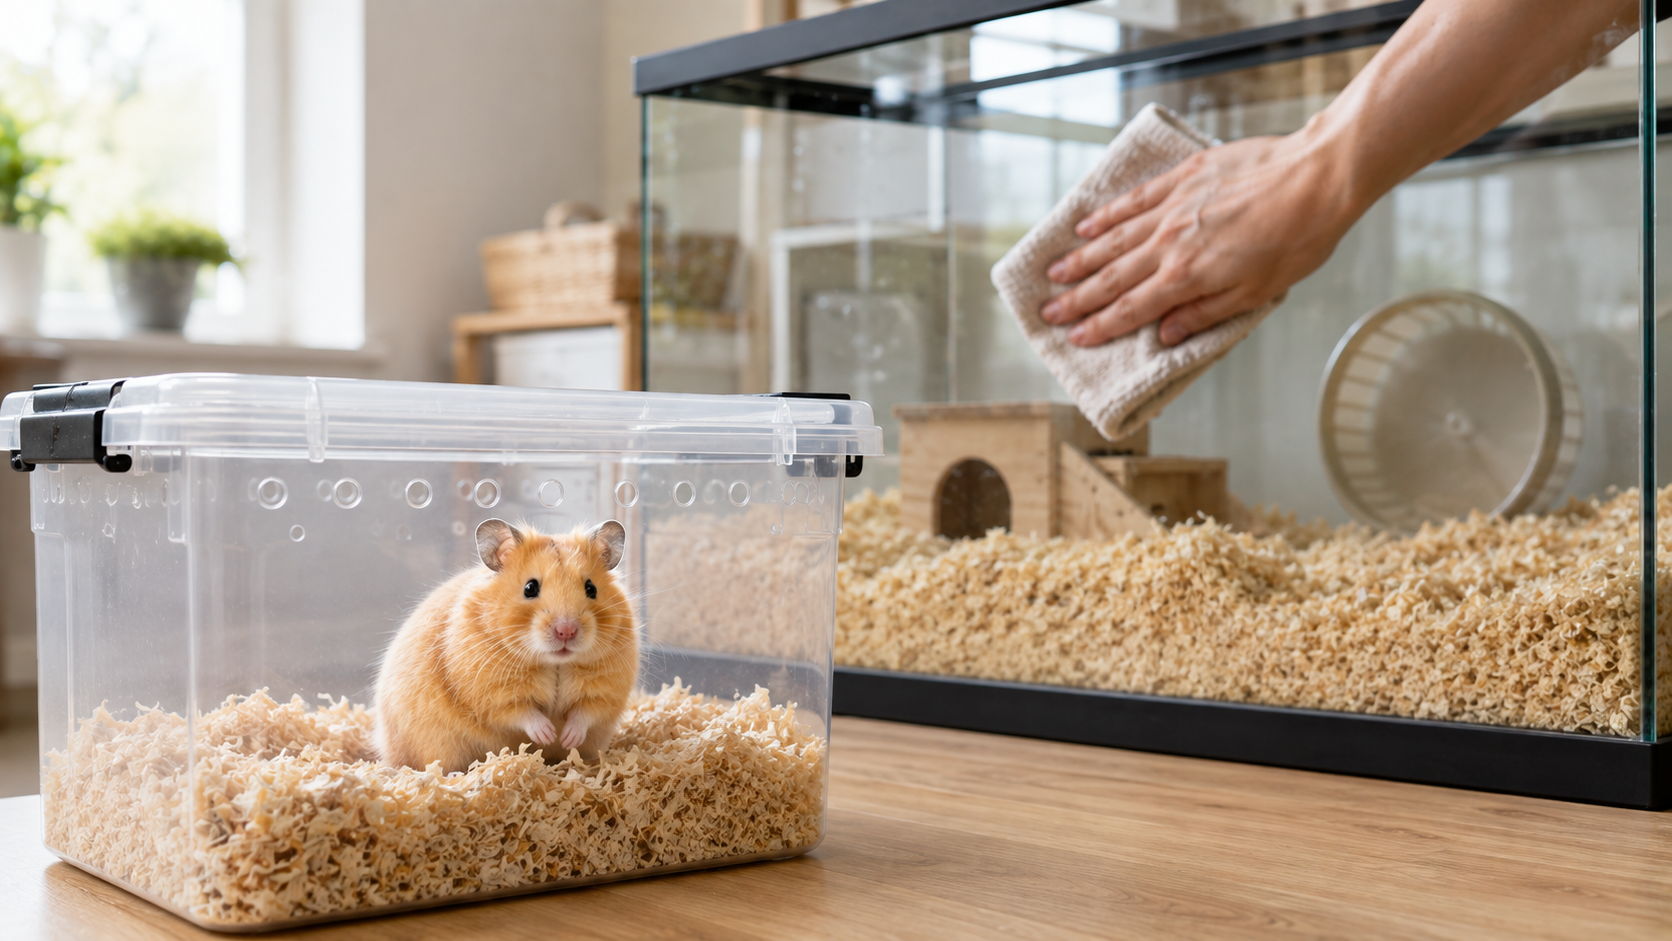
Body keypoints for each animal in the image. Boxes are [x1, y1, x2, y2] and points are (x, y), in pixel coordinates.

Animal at [374, 518, 639, 773]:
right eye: (530, 588)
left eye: (591, 588)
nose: (567, 630)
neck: (555, 662)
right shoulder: (493, 692)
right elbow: (521, 712)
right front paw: (547, 734)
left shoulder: (607, 690)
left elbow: (585, 712)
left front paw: (567, 738)